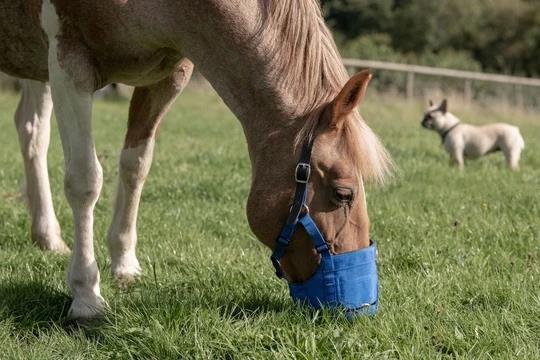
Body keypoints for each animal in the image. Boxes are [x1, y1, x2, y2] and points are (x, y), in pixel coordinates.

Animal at [0, 0, 388, 320]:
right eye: (343, 193)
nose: (360, 306)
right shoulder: (69, 62)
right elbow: (84, 181)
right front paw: (86, 296)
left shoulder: (167, 77)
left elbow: (135, 165)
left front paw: (124, 263)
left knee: (32, 129)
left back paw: (47, 236)